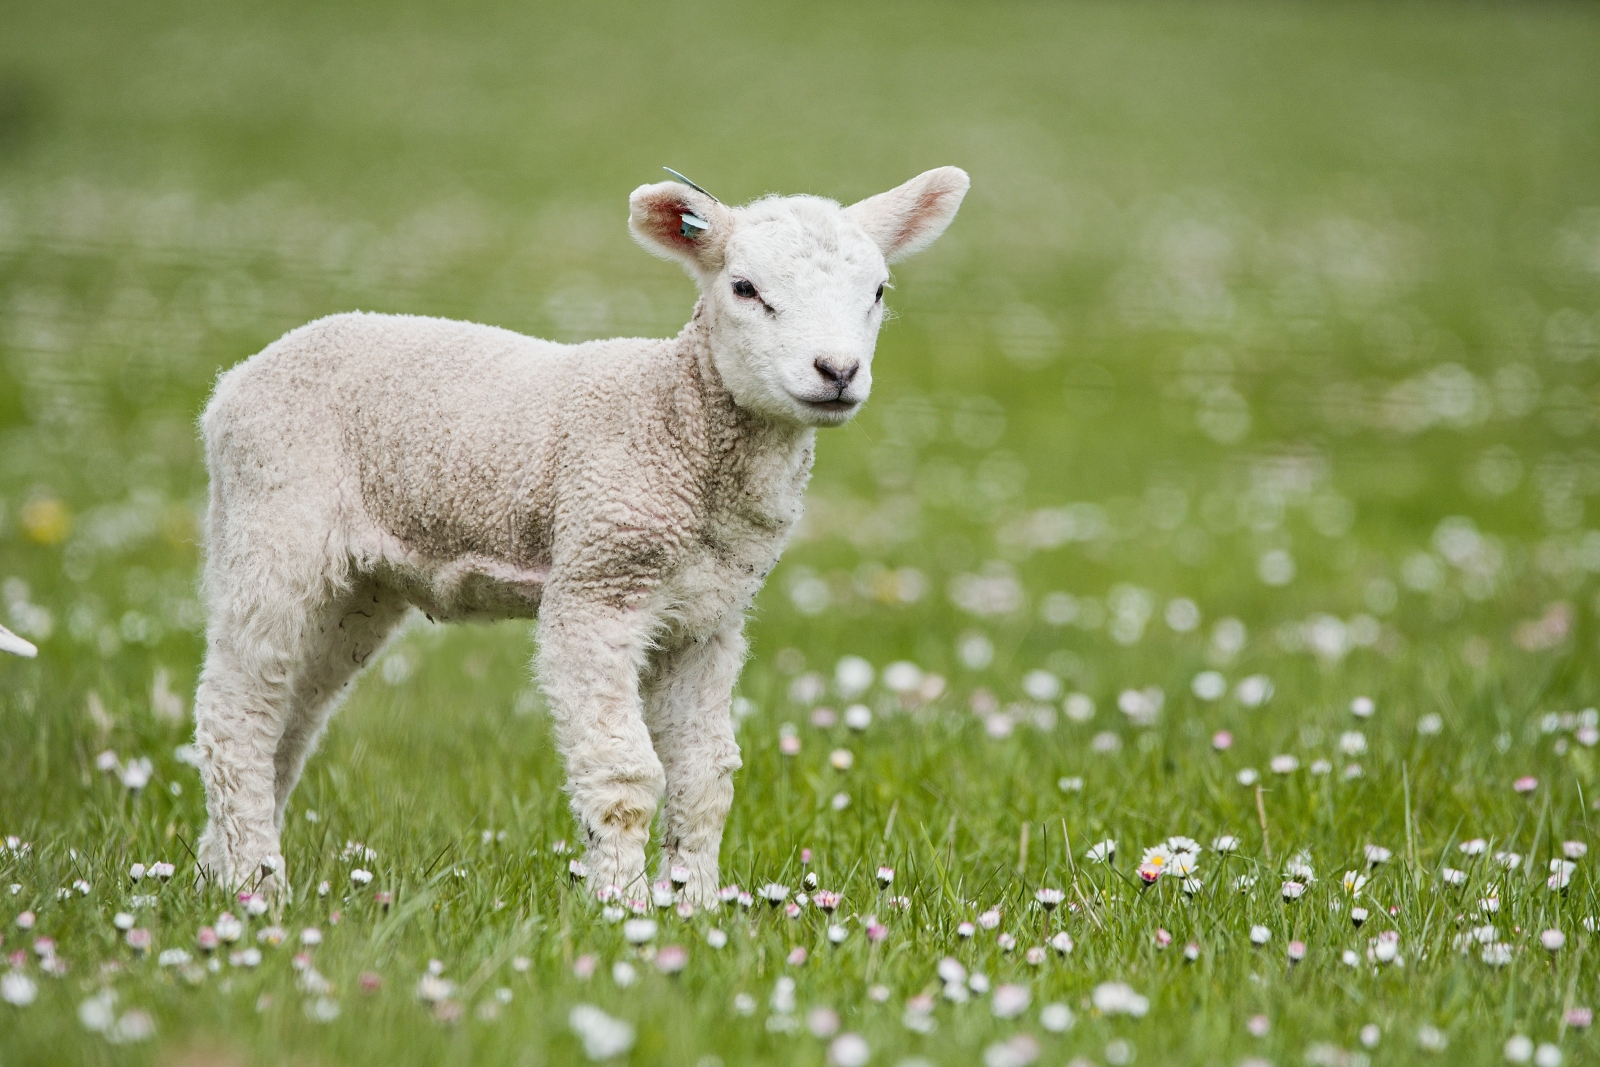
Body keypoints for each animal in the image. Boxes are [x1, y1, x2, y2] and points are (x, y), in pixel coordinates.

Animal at [191, 166, 969, 904]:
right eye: (745, 289)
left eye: (877, 290)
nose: (837, 371)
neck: (675, 420)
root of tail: (231, 385)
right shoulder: (599, 580)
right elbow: (626, 774)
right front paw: (622, 905)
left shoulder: (707, 618)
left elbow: (706, 777)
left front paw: (697, 905)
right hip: (274, 526)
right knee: (236, 712)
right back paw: (257, 882)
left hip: (358, 587)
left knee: (292, 717)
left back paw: (216, 874)